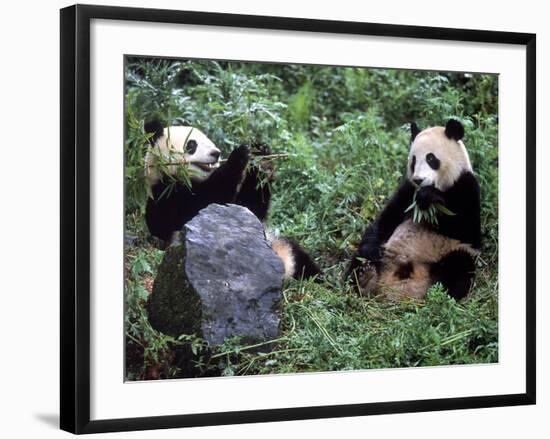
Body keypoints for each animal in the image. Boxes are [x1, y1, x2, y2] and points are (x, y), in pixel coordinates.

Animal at [144, 118, 322, 280]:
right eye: (191, 145)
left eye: (209, 141)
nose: (216, 153)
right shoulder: (165, 195)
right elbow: (201, 208)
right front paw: (237, 156)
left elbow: (250, 210)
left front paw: (261, 158)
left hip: (279, 245)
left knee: (300, 258)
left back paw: (318, 277)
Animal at [352, 118, 480, 300]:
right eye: (413, 161)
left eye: (431, 158)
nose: (419, 179)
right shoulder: (407, 190)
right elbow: (385, 220)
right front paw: (371, 252)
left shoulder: (466, 186)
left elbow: (467, 230)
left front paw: (429, 197)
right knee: (357, 261)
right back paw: (365, 277)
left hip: (449, 252)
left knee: (458, 266)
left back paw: (437, 294)